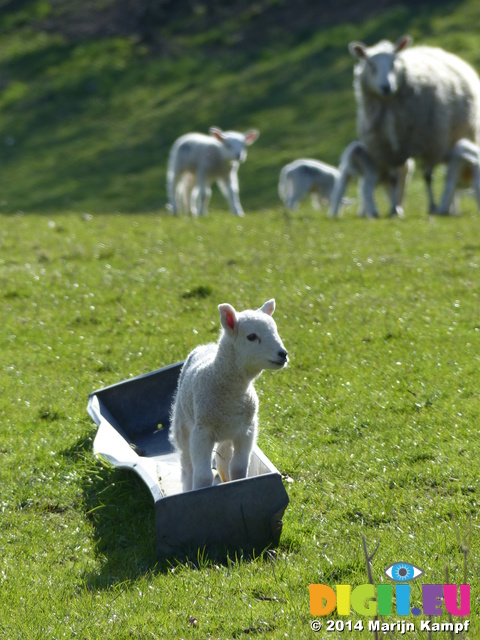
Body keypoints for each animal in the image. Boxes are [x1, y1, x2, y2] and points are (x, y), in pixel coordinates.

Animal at [170, 298, 288, 490]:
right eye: (252, 337)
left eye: (276, 331)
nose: (283, 354)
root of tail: (205, 346)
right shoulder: (201, 432)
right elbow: (202, 475)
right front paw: (199, 491)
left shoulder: (246, 430)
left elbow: (238, 467)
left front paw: (238, 483)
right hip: (183, 426)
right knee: (187, 466)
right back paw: (187, 487)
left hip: (227, 432)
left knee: (223, 458)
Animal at [346, 35, 480, 215]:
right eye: (371, 64)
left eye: (394, 61)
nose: (386, 87)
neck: (390, 105)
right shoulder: (390, 151)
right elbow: (394, 179)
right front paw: (394, 209)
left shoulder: (431, 143)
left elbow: (428, 176)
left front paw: (432, 206)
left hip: (458, 136)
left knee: (453, 171)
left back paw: (450, 208)